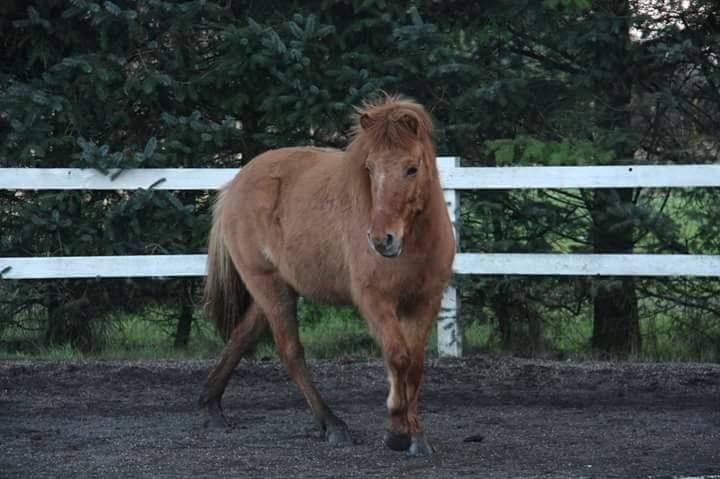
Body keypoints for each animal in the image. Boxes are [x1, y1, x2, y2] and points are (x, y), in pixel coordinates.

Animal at [197, 94, 456, 458]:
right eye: (369, 169)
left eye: (411, 168)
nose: (382, 239)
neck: (414, 241)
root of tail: (235, 183)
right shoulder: (375, 301)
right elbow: (398, 357)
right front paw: (395, 430)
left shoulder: (425, 300)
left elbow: (415, 365)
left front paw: (416, 435)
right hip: (267, 284)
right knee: (290, 351)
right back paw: (333, 424)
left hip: (276, 289)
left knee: (241, 337)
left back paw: (211, 408)